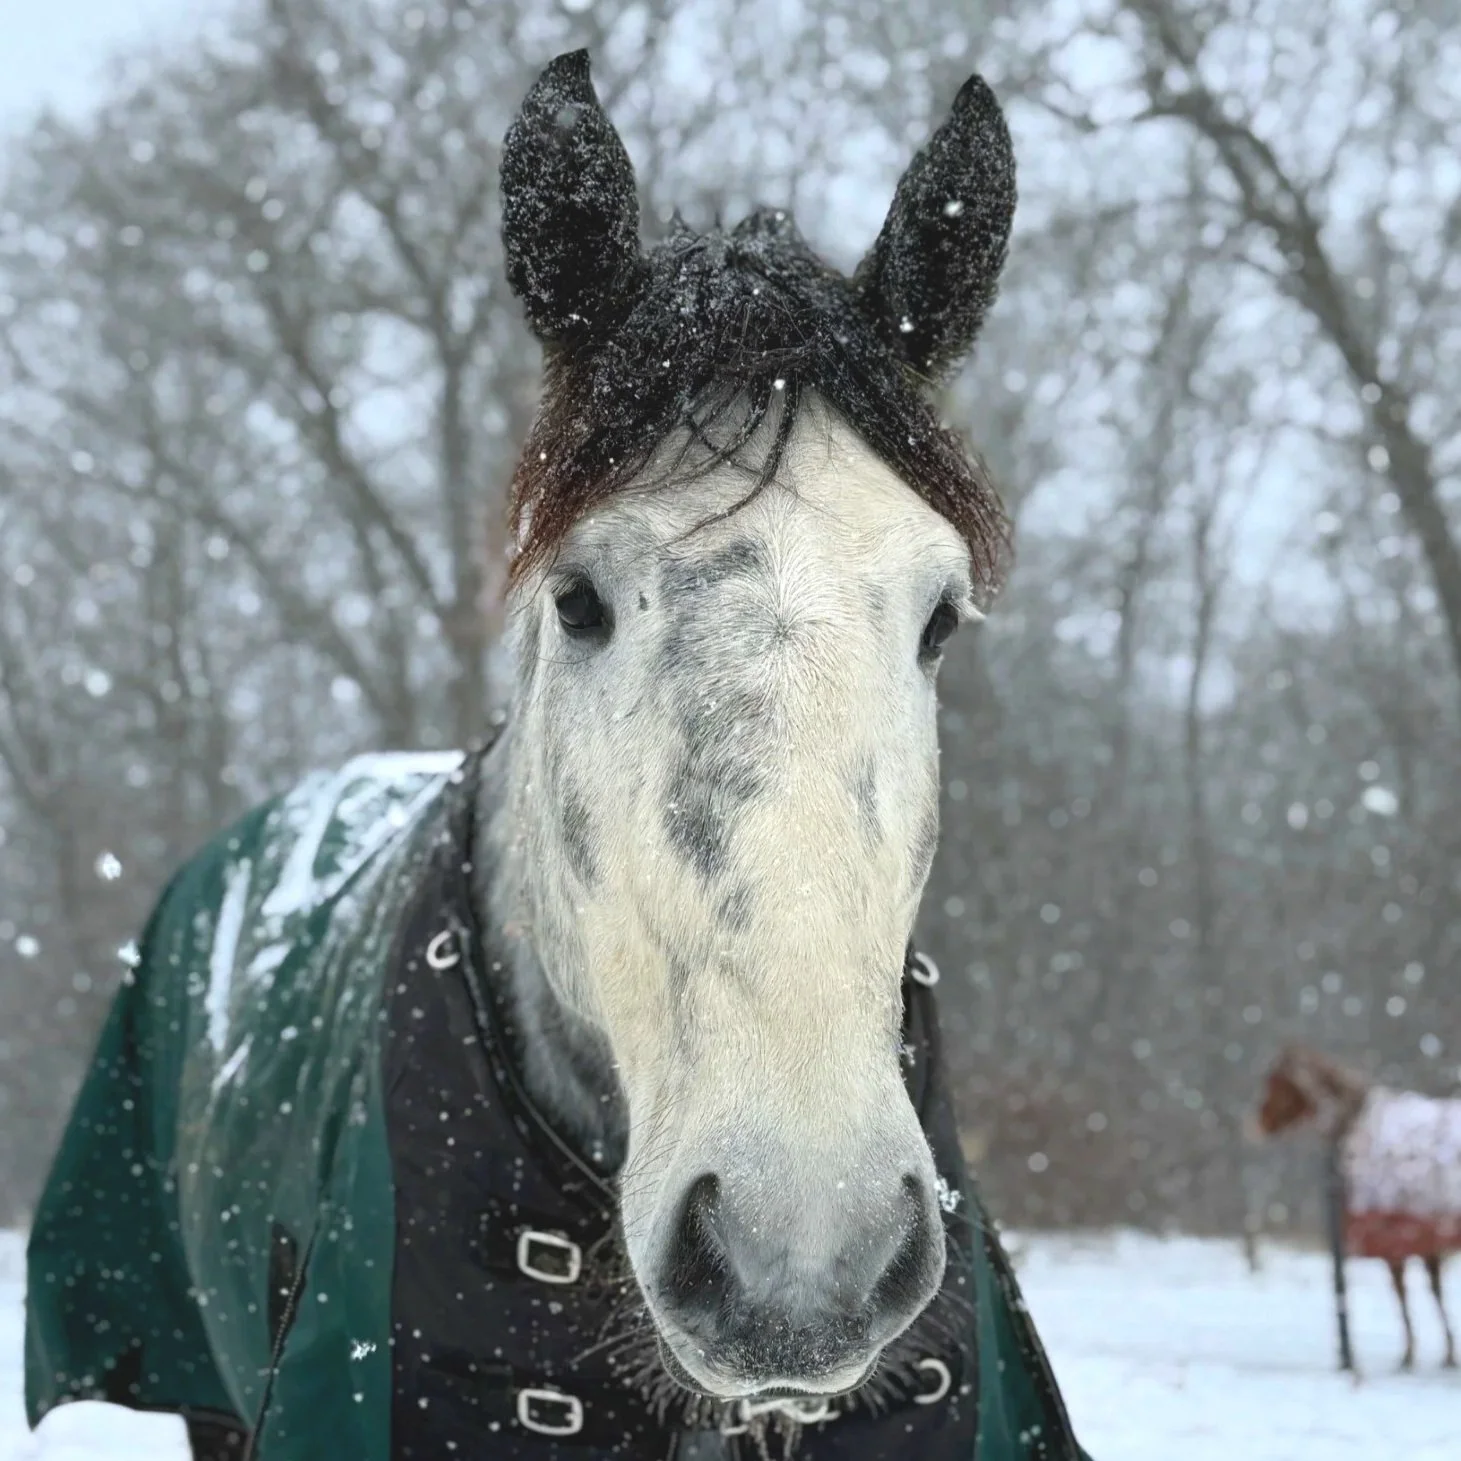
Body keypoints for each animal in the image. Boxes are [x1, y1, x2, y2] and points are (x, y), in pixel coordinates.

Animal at [1252, 1043, 1461, 1370]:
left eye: (1277, 1082)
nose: (1256, 1125)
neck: (1356, 1123)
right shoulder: (1419, 1242)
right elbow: (1429, 1291)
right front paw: (1442, 1353)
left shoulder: (1399, 1243)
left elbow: (1409, 1293)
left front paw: (1415, 1354)